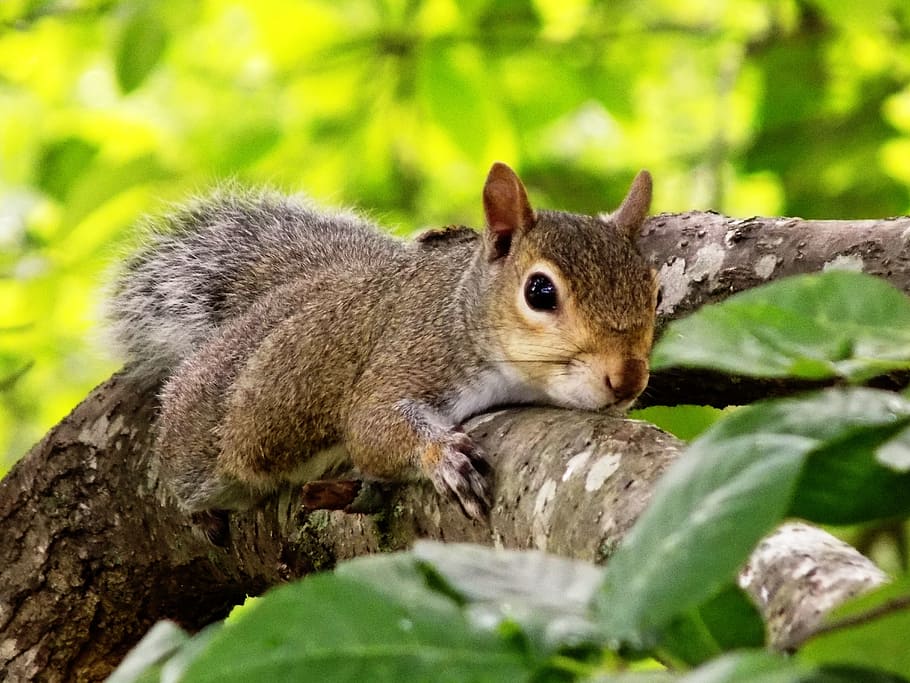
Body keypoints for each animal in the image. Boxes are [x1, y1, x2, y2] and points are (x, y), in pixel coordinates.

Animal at [107, 163, 658, 524]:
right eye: (539, 291)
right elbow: (369, 428)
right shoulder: (409, 352)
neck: (459, 309)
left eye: (652, 289)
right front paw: (444, 457)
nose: (627, 378)